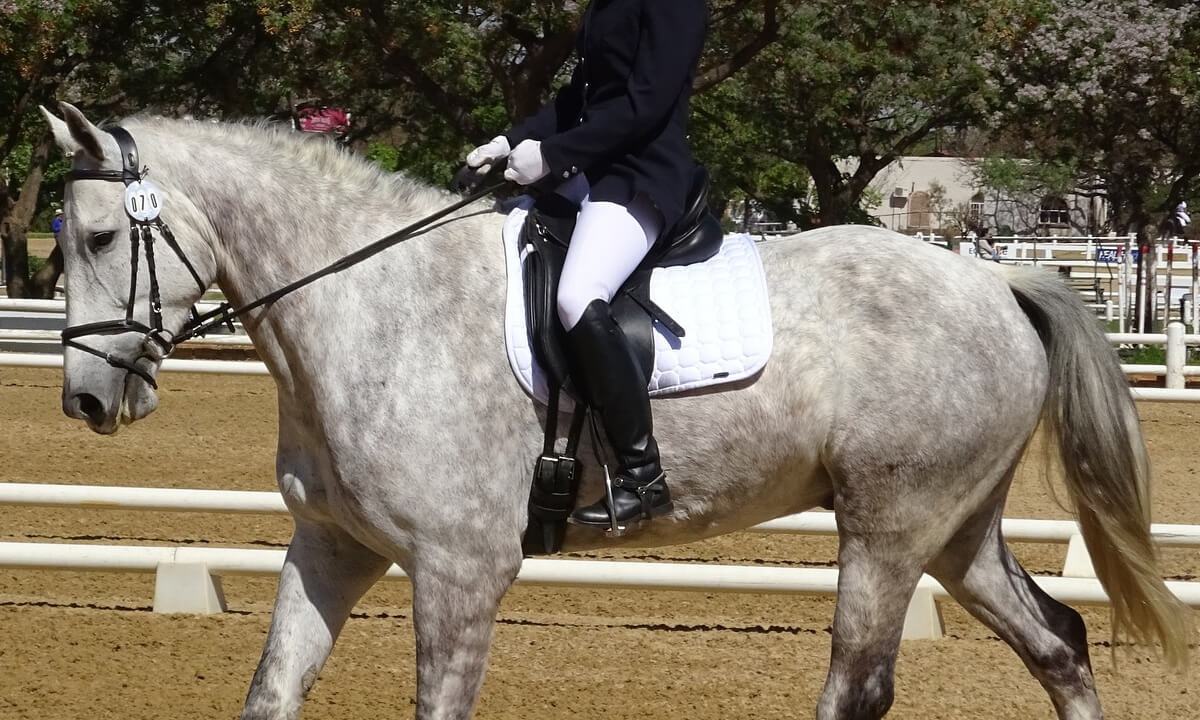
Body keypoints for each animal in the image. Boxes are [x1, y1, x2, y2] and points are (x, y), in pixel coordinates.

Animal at [41, 103, 1190, 720]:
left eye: (97, 237)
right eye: (62, 237)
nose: (87, 399)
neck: (373, 304)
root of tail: (997, 280)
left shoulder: (460, 572)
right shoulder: (332, 544)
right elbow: (273, 691)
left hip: (890, 527)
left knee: (860, 686)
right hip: (955, 526)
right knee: (1058, 641)